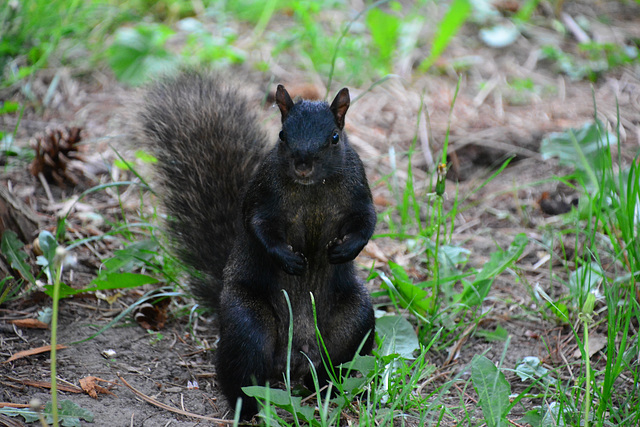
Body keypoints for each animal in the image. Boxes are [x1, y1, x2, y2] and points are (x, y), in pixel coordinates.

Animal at [136, 72, 376, 418]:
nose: (303, 165)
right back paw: (251, 409)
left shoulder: (359, 188)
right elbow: (258, 227)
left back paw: (329, 392)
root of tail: (294, 358)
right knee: (244, 372)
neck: (312, 189)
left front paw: (346, 250)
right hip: (247, 321)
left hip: (355, 321)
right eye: (282, 135)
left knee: (337, 364)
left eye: (334, 137)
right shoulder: (262, 196)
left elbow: (367, 221)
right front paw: (288, 260)